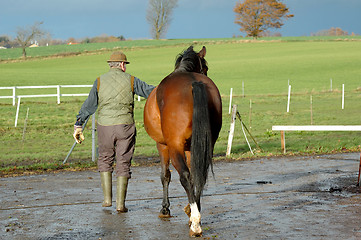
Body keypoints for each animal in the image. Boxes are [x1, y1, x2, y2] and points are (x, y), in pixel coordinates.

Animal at [143, 45, 222, 236]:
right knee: (200, 174)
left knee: (184, 176)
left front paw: (165, 209)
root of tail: (195, 83)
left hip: (174, 147)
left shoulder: (163, 145)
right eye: (206, 68)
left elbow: (165, 175)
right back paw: (194, 214)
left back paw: (195, 223)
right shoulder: (191, 148)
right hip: (205, 144)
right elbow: (195, 175)